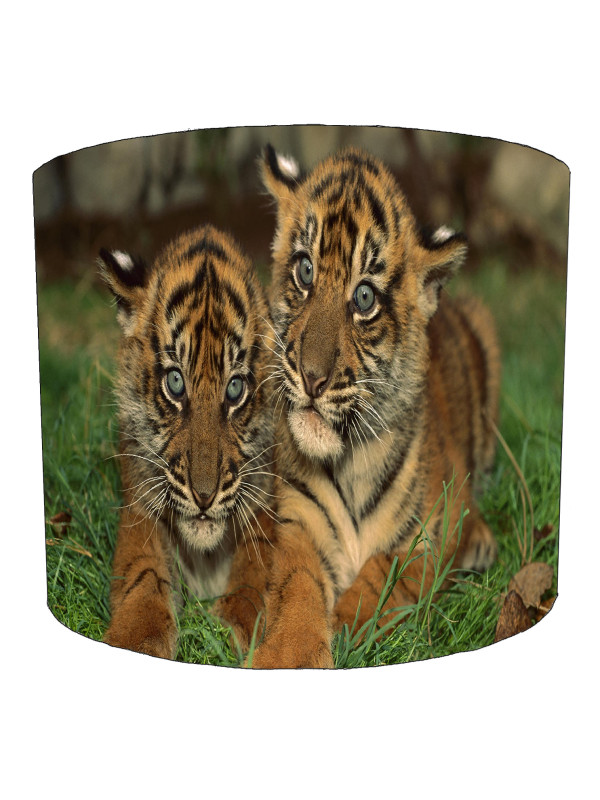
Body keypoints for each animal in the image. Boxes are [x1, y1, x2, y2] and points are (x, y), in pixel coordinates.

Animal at [100, 224, 276, 660]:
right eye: (175, 382)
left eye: (235, 389)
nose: (204, 496)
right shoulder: (139, 507)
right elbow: (143, 576)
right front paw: (135, 643)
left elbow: (253, 571)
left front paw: (233, 630)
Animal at [251, 145, 501, 668]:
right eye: (305, 270)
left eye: (364, 297)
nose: (311, 377)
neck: (347, 460)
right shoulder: (294, 520)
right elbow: (296, 585)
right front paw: (290, 656)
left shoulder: (426, 532)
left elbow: (381, 575)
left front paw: (345, 626)